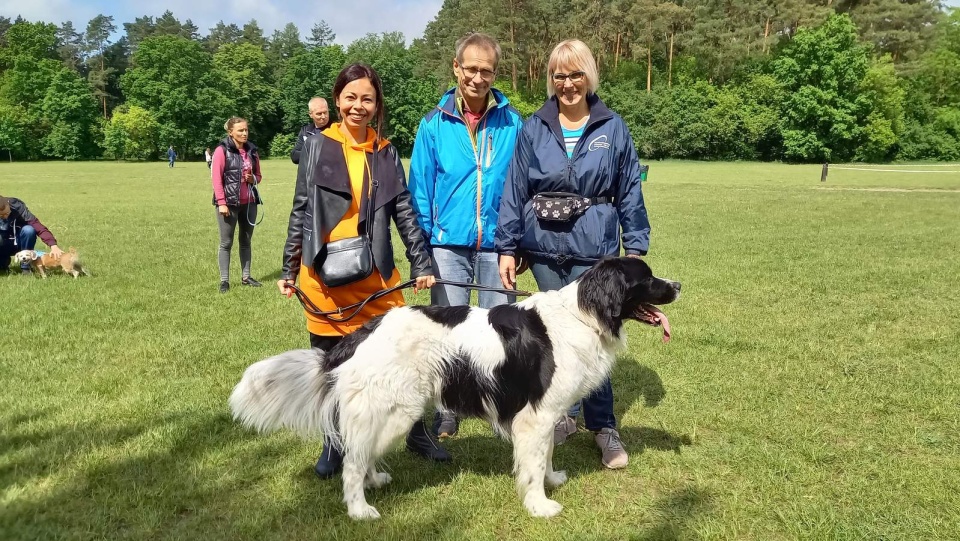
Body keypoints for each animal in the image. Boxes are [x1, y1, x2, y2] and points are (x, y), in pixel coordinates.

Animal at [229, 258, 680, 520]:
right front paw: (540, 506)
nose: (677, 285)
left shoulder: (546, 414)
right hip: (393, 408)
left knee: (362, 452)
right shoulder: (534, 416)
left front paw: (552, 480)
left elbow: (546, 456)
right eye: (646, 278)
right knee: (352, 462)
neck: (582, 314)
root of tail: (361, 333)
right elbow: (533, 465)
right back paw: (361, 510)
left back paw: (376, 481)